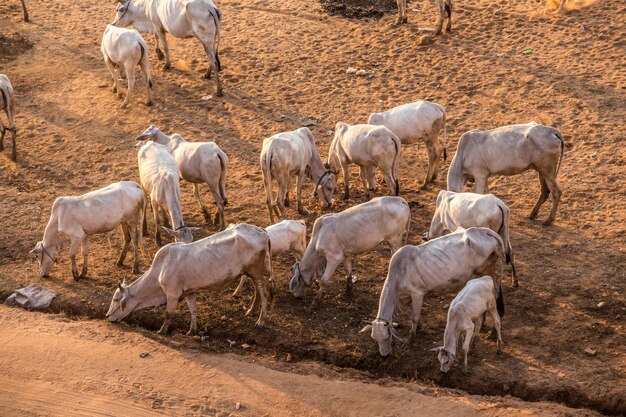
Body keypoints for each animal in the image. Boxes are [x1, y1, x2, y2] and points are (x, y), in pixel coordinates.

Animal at [106, 223, 272, 334]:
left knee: (264, 291)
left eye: (116, 299)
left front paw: (161, 331)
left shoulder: (172, 294)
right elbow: (193, 310)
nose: (107, 316)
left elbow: (168, 314)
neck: (160, 270)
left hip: (255, 270)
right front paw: (192, 331)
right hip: (251, 271)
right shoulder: (189, 291)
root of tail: (261, 231)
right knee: (257, 290)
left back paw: (261, 321)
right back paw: (251, 311)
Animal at [360, 226, 502, 356]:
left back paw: (493, 332)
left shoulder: (417, 293)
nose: (384, 355)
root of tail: (485, 231)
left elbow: (414, 317)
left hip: (486, 270)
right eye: (374, 339)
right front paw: (419, 328)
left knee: (495, 297)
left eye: (387, 337)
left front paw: (410, 341)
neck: (398, 276)